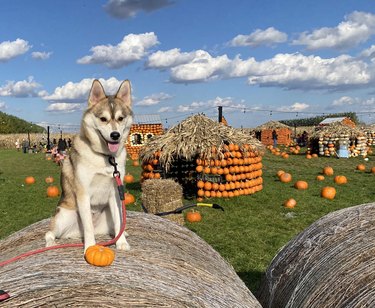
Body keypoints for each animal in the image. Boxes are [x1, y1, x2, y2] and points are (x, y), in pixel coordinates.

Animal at [45, 79, 134, 253]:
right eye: (103, 119)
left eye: (120, 118)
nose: (115, 135)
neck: (105, 157)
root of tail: (73, 233)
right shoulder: (83, 193)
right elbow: (88, 228)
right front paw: (90, 247)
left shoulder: (115, 193)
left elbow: (119, 221)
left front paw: (121, 243)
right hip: (63, 216)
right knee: (50, 233)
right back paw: (51, 243)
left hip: (106, 214)